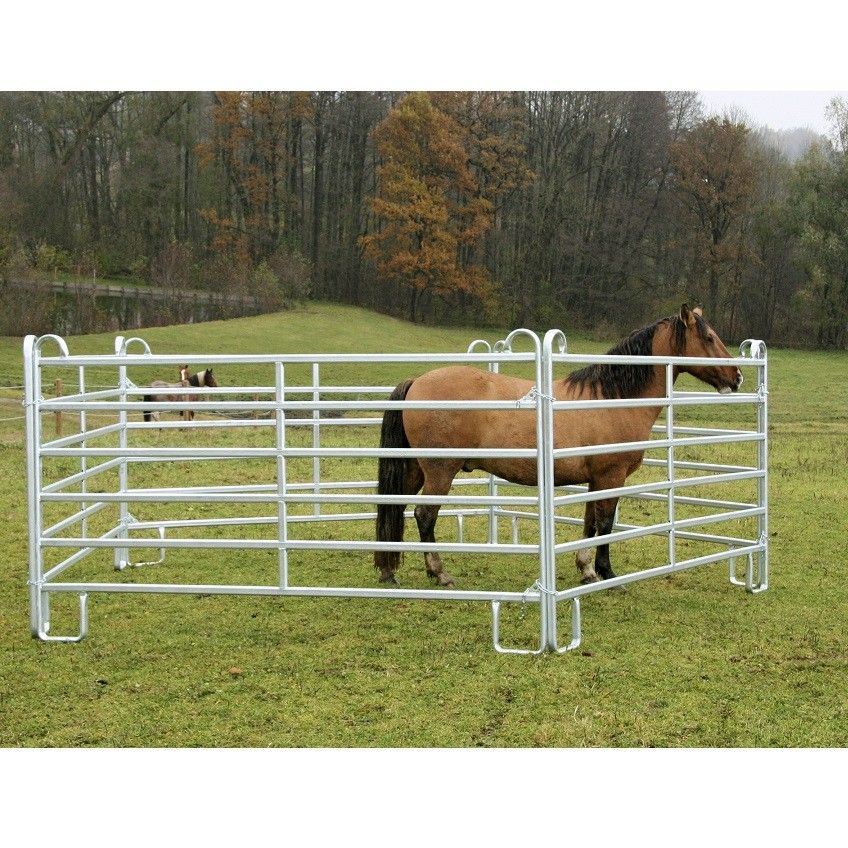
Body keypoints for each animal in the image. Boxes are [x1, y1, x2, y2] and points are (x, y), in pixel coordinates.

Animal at [374, 305, 743, 588]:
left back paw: (389, 571)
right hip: (439, 471)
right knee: (424, 515)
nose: (737, 376)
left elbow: (590, 523)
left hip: (415, 470)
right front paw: (607, 574)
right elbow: (605, 524)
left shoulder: (595, 480)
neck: (611, 398)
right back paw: (440, 573)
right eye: (708, 338)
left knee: (397, 507)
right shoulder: (611, 477)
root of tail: (417, 382)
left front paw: (587, 570)